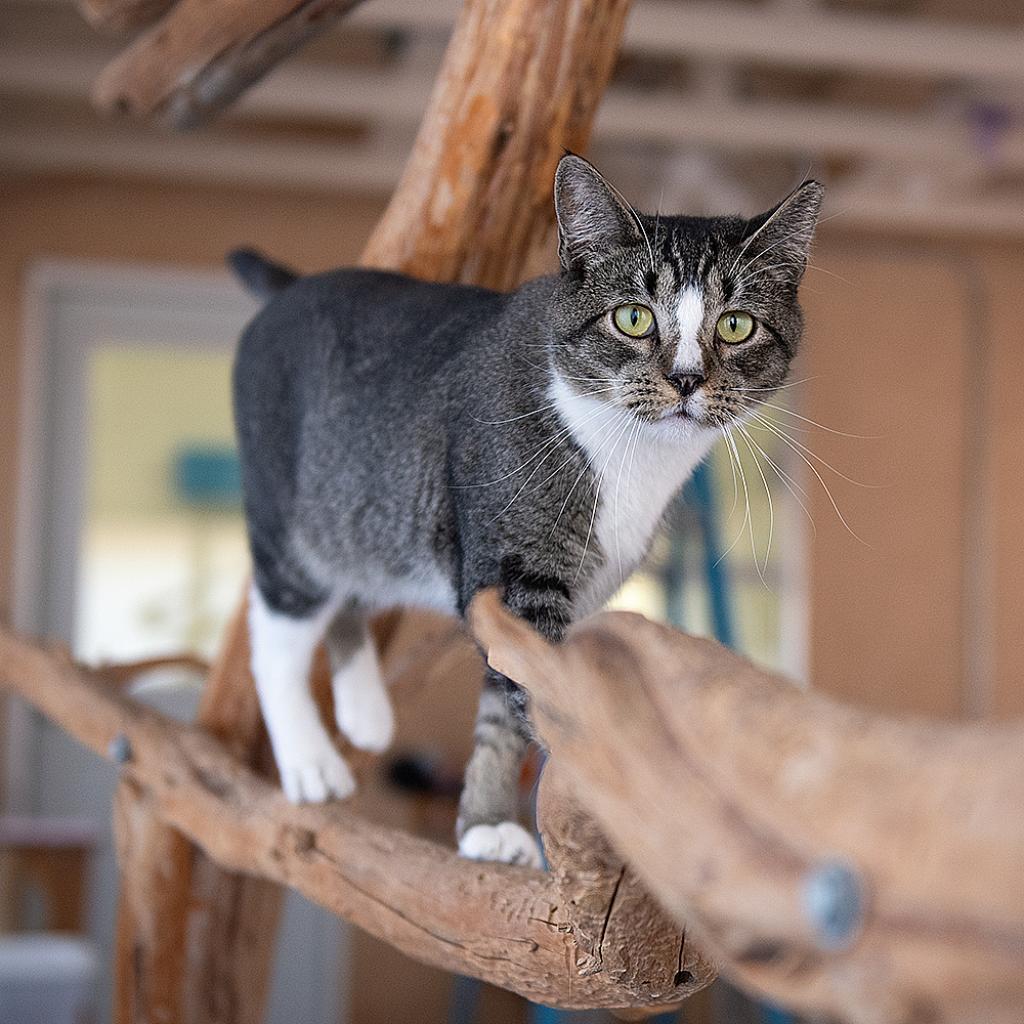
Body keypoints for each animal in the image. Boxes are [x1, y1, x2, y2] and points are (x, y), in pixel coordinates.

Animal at [232, 155, 823, 868]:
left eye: (736, 325)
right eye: (633, 318)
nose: (687, 380)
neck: (632, 456)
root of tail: (291, 288)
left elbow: (506, 707)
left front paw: (485, 825)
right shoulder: (515, 571)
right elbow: (547, 700)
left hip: (359, 513)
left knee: (351, 588)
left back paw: (364, 715)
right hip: (290, 524)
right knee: (278, 632)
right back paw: (310, 762)